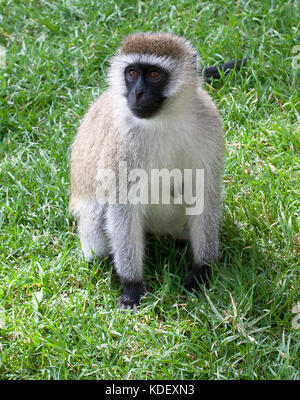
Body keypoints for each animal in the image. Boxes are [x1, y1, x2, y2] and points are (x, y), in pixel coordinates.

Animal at [69, 32, 233, 310]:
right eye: (132, 73)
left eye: (155, 75)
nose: (138, 93)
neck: (165, 119)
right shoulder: (122, 142)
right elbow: (122, 207)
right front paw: (132, 285)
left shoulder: (209, 122)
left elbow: (205, 194)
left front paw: (201, 271)